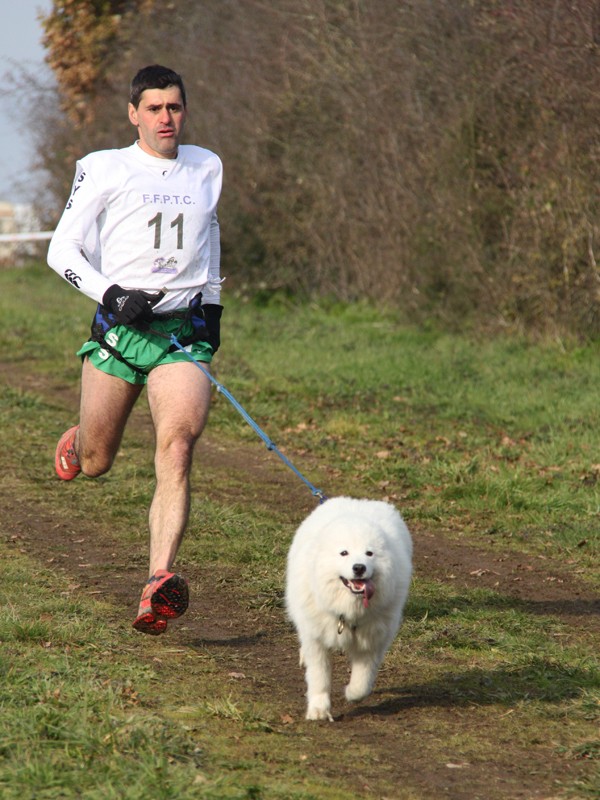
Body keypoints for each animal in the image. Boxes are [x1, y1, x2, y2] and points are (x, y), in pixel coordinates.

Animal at [286, 496, 412, 720]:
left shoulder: (372, 640)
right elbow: (319, 677)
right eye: (343, 553)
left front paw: (351, 694)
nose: (359, 567)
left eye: (369, 553)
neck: (348, 609)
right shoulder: (316, 639)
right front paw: (319, 710)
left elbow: (362, 680)